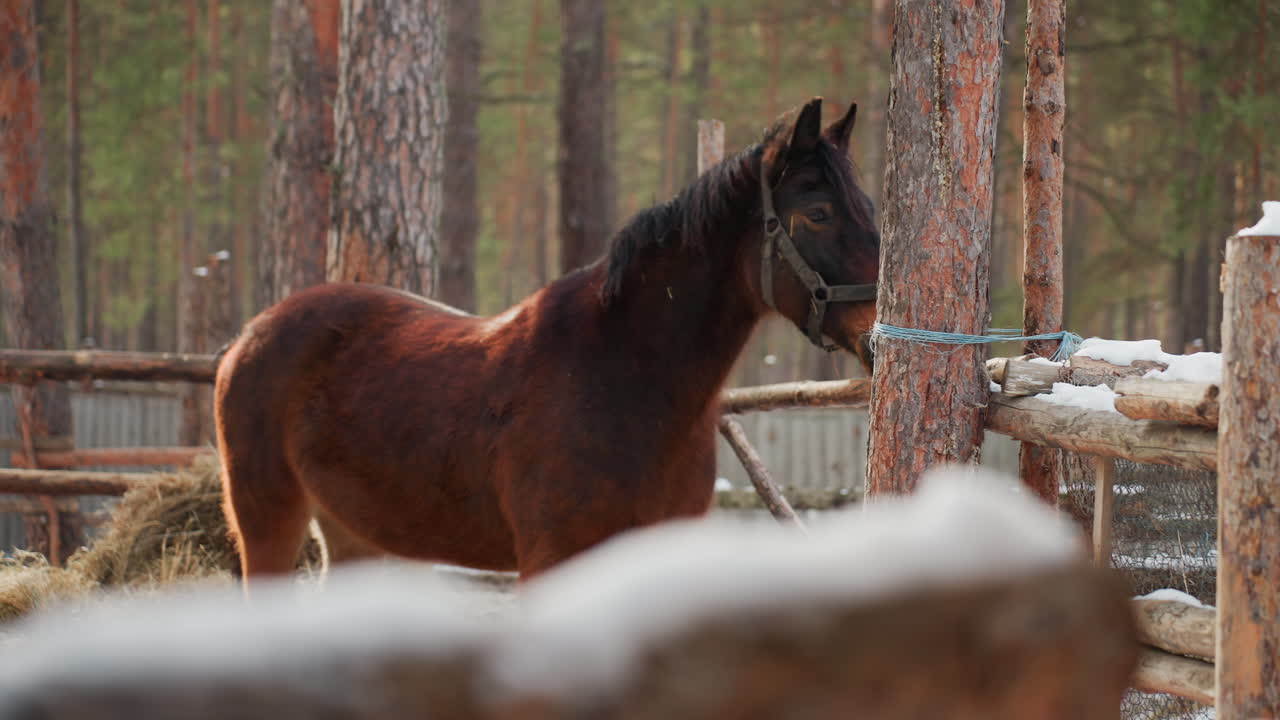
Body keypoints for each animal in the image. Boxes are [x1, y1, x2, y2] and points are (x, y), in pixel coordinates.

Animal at [214, 97, 880, 586]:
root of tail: (249, 335)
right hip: (267, 523)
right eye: (817, 213)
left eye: (871, 209)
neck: (625, 379)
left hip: (356, 533)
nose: (877, 336)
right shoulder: (550, 562)